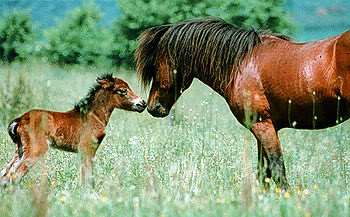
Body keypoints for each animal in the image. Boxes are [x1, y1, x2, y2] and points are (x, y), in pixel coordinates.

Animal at [0, 73, 145, 186]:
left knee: (5, 173)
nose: (142, 103)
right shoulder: (87, 148)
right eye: (122, 90)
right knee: (14, 175)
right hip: (36, 149)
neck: (93, 115)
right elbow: (88, 175)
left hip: (20, 150)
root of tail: (20, 119)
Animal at [135, 18, 350, 190]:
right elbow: (264, 174)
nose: (152, 107)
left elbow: (277, 170)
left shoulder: (262, 125)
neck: (241, 65)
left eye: (154, 67)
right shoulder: (266, 128)